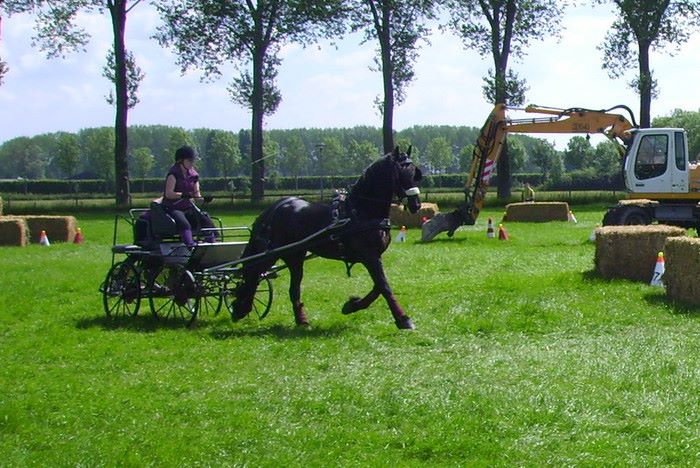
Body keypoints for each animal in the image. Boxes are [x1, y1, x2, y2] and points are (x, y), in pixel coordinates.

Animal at [232, 146, 424, 330]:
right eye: (401, 173)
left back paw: (301, 320)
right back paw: (241, 306)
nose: (416, 204)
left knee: (292, 288)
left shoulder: (375, 256)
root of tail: (276, 207)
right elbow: (384, 286)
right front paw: (403, 319)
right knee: (252, 272)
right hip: (271, 254)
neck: (361, 211)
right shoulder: (369, 256)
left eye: (415, 174)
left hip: (295, 256)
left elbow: (378, 286)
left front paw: (352, 305)